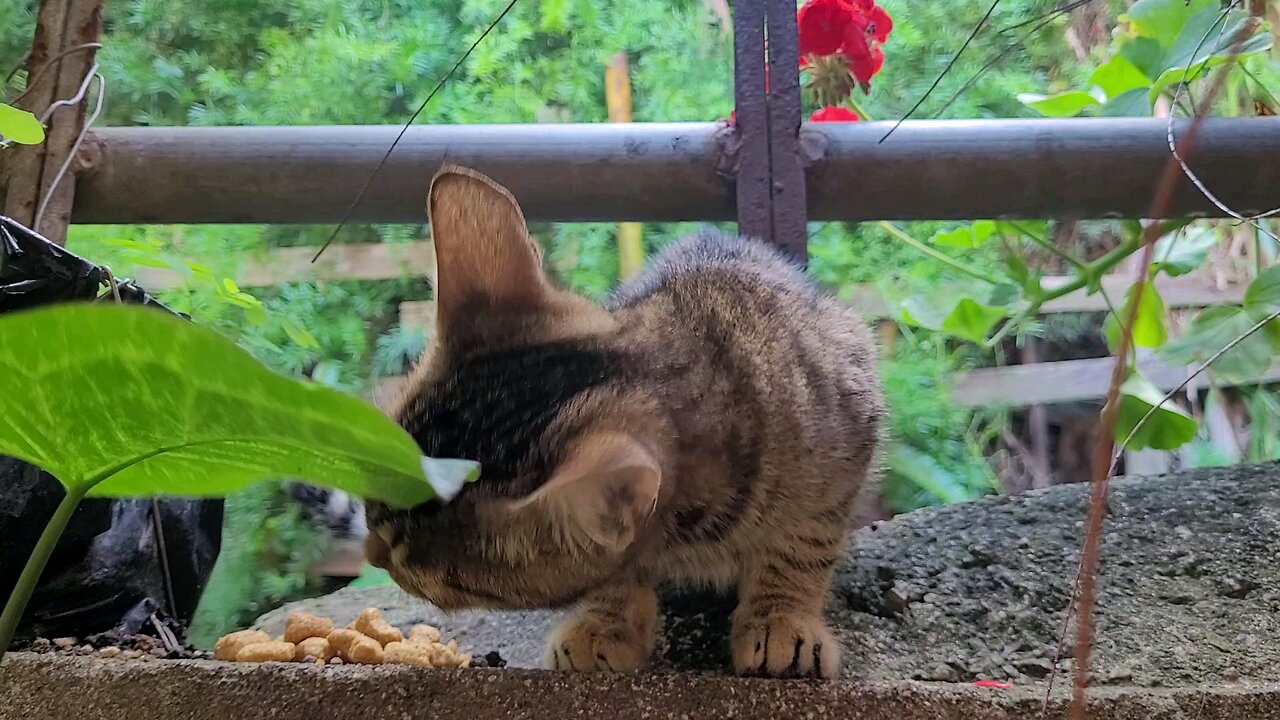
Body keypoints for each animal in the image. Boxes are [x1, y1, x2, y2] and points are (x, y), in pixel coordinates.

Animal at [360, 165, 880, 676]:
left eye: (440, 577)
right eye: (370, 505)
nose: (372, 555)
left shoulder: (848, 435)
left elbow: (802, 544)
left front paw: (781, 618)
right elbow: (614, 577)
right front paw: (604, 625)